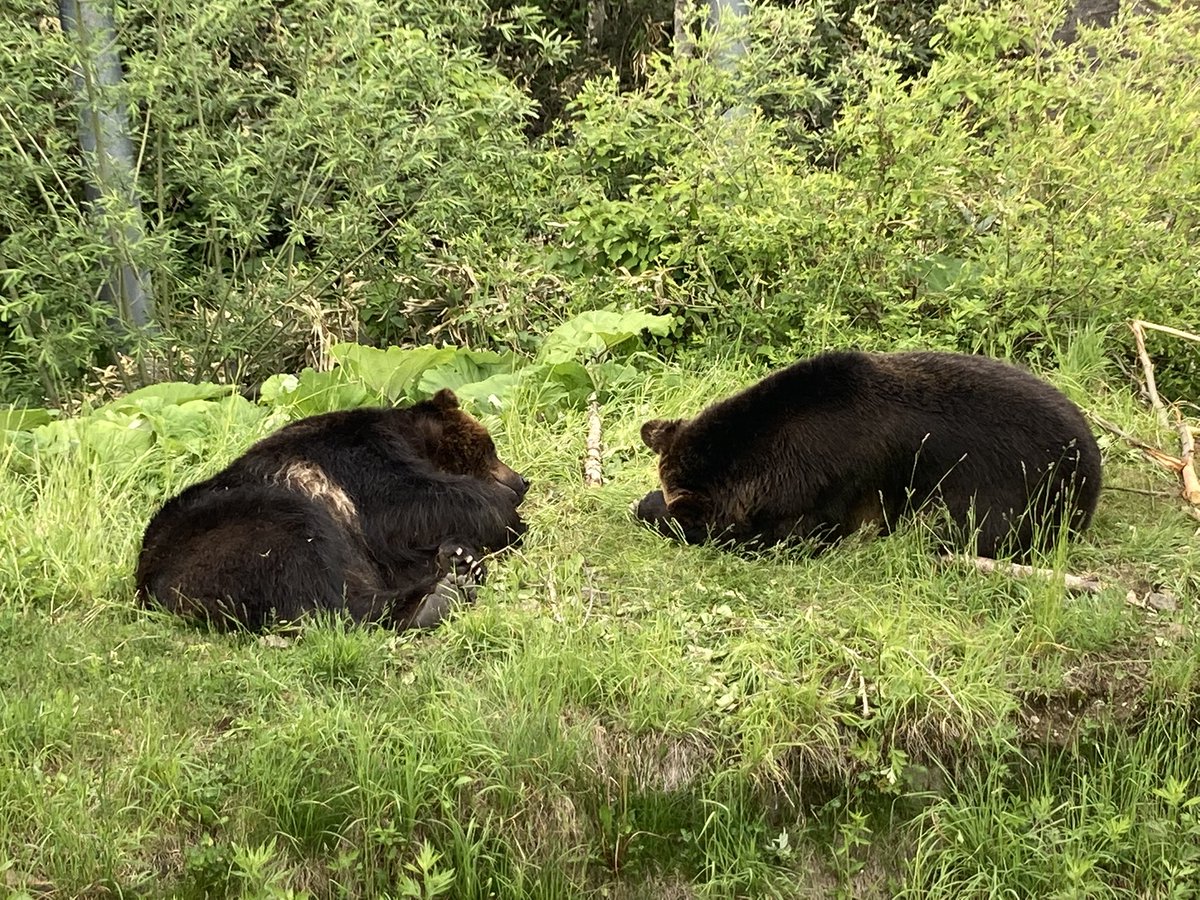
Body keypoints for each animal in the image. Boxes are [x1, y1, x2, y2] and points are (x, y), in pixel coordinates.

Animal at [136, 389, 528, 631]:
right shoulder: (360, 456)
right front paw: (505, 518)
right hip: (243, 527)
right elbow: (404, 503)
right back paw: (435, 598)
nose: (522, 481)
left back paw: (457, 570)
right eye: (490, 448)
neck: (412, 442)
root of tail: (148, 588)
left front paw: (461, 552)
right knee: (317, 575)